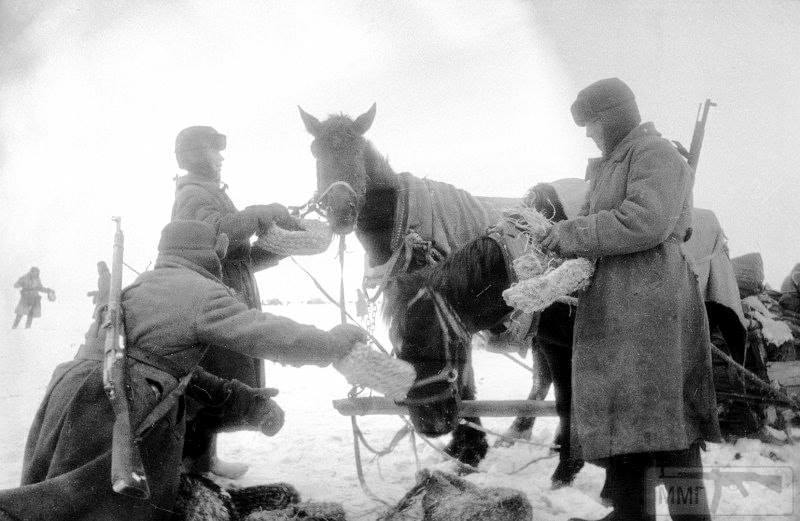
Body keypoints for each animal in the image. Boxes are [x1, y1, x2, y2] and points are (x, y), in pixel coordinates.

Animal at [296, 103, 520, 466]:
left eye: (359, 149)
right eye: (316, 151)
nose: (342, 211)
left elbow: (460, 363)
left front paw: (469, 445)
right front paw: (464, 442)